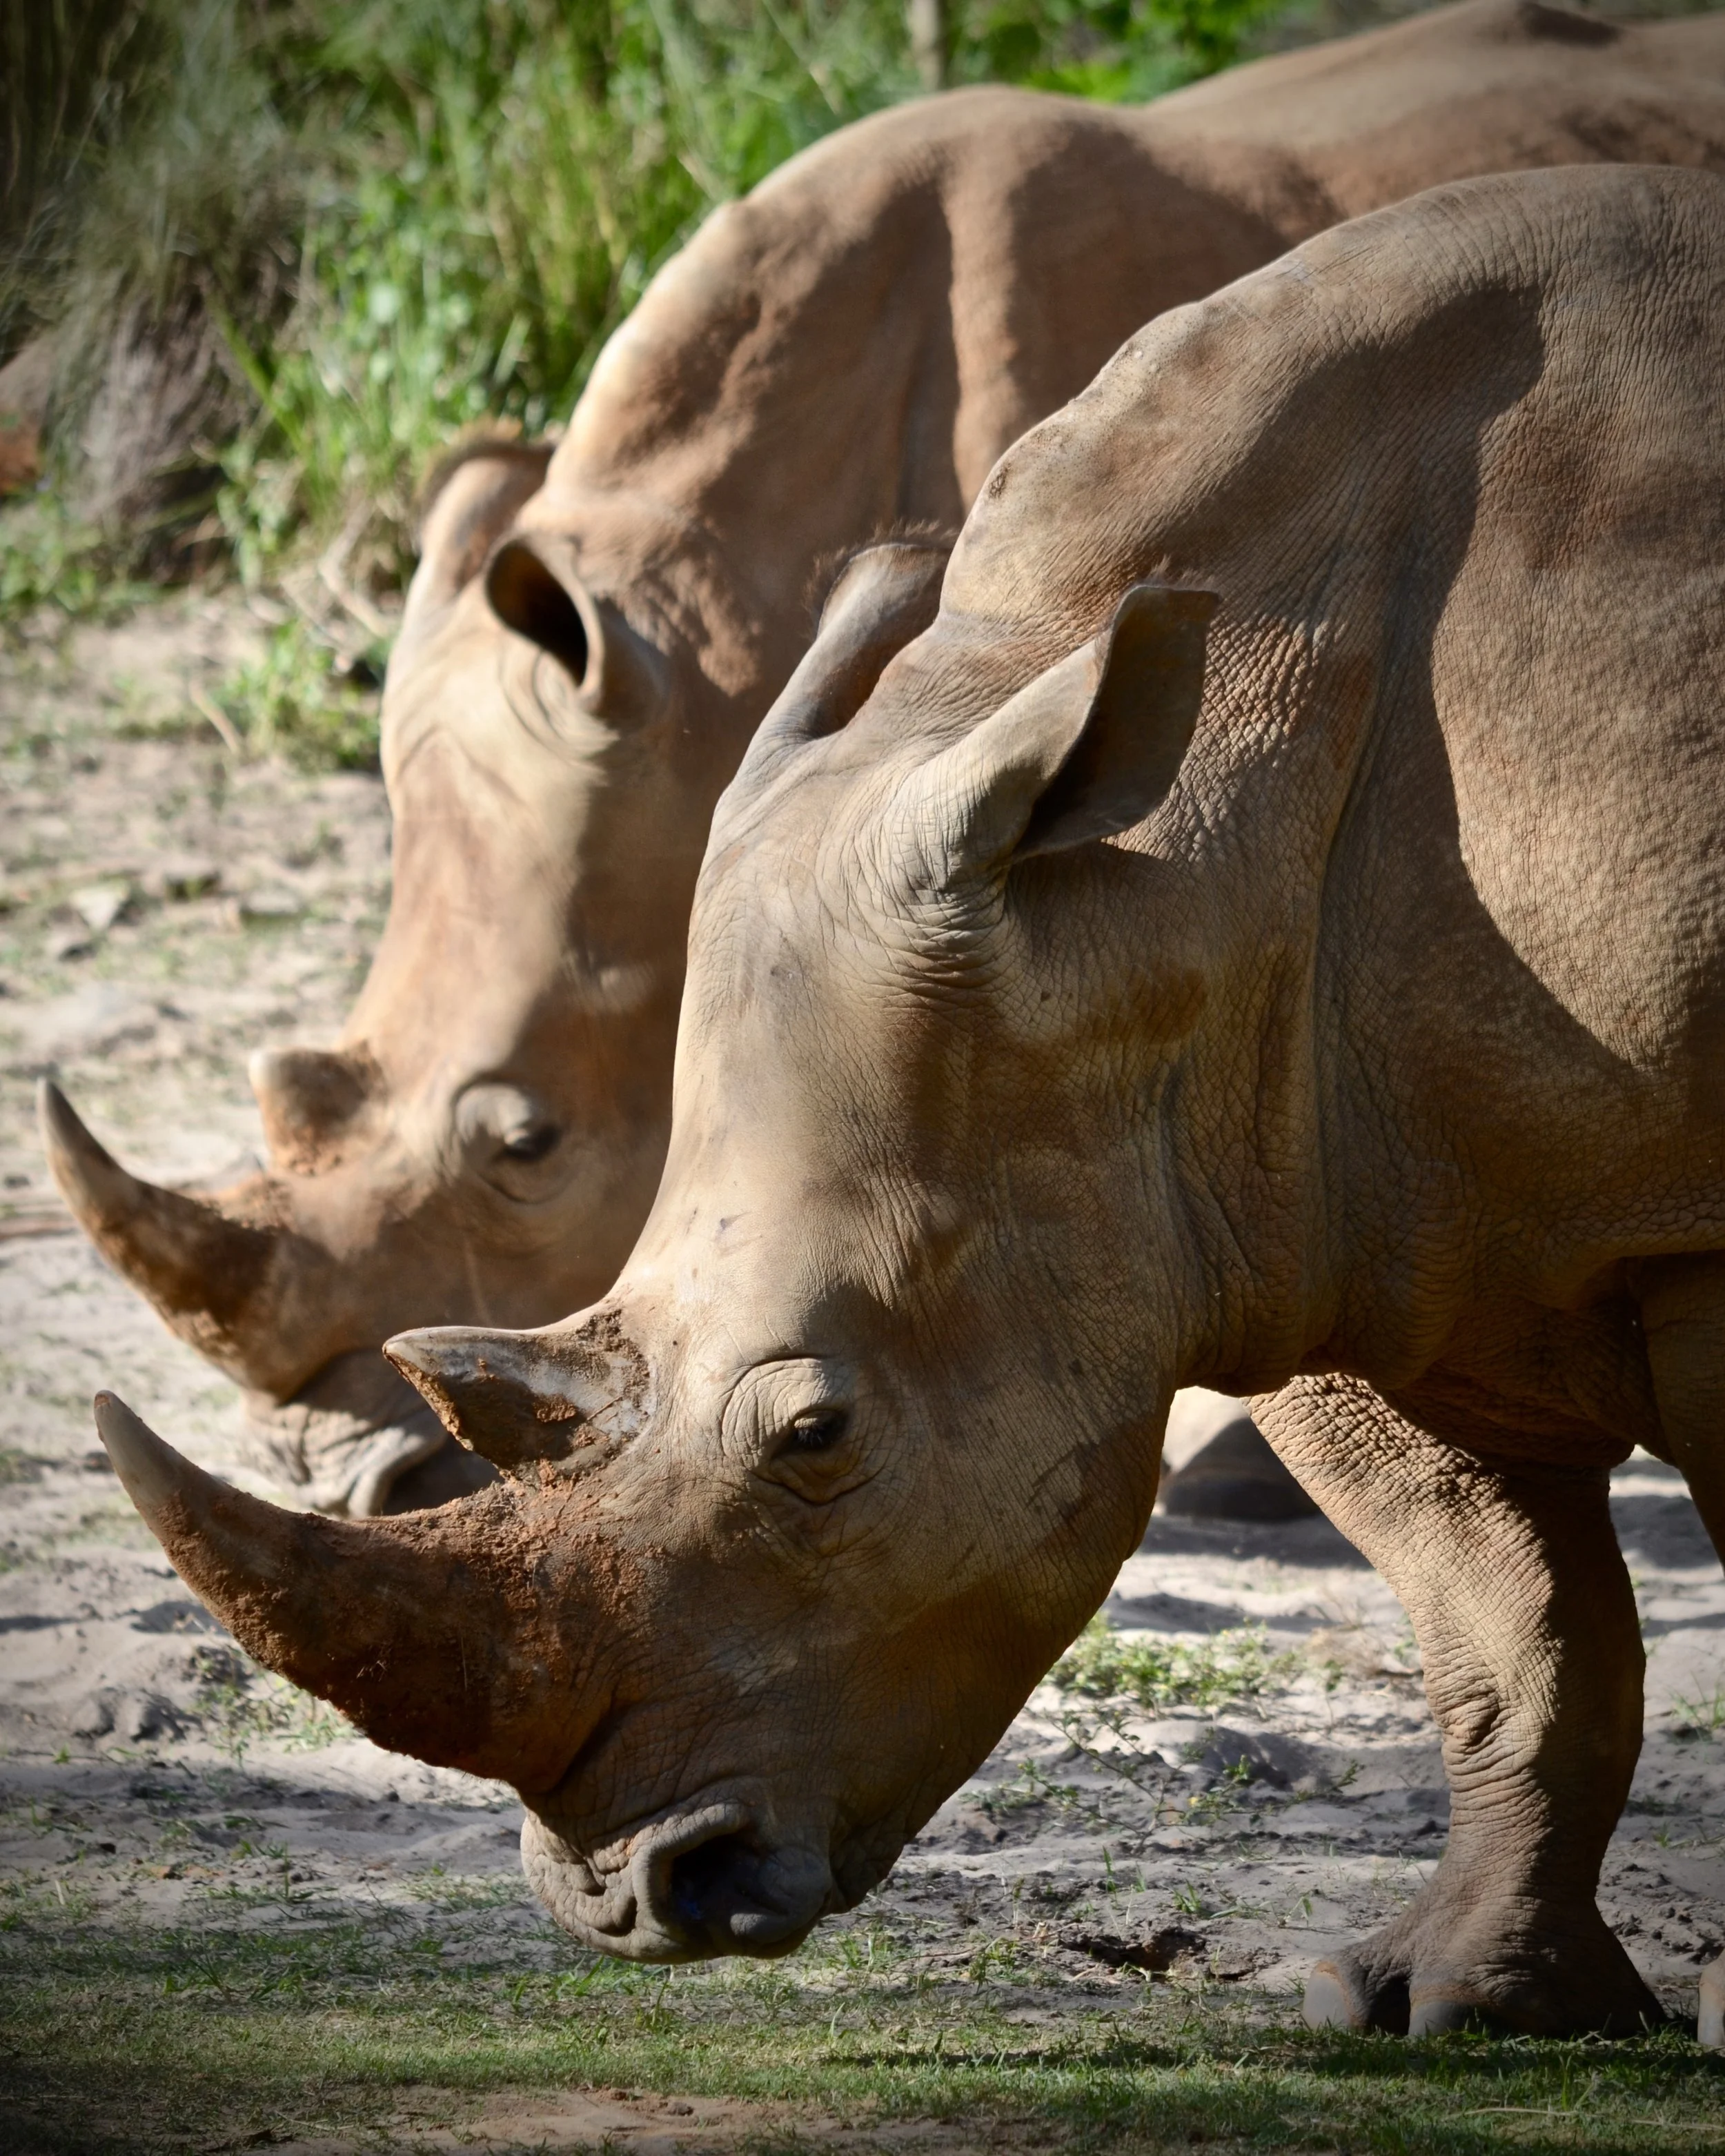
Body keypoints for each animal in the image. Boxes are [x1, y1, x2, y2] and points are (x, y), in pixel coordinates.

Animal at [96, 161, 1725, 2038]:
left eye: (817, 1434)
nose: (637, 1896)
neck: (1160, 876)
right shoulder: (1296, 1193)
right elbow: (1509, 1623)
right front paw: (1442, 2001)